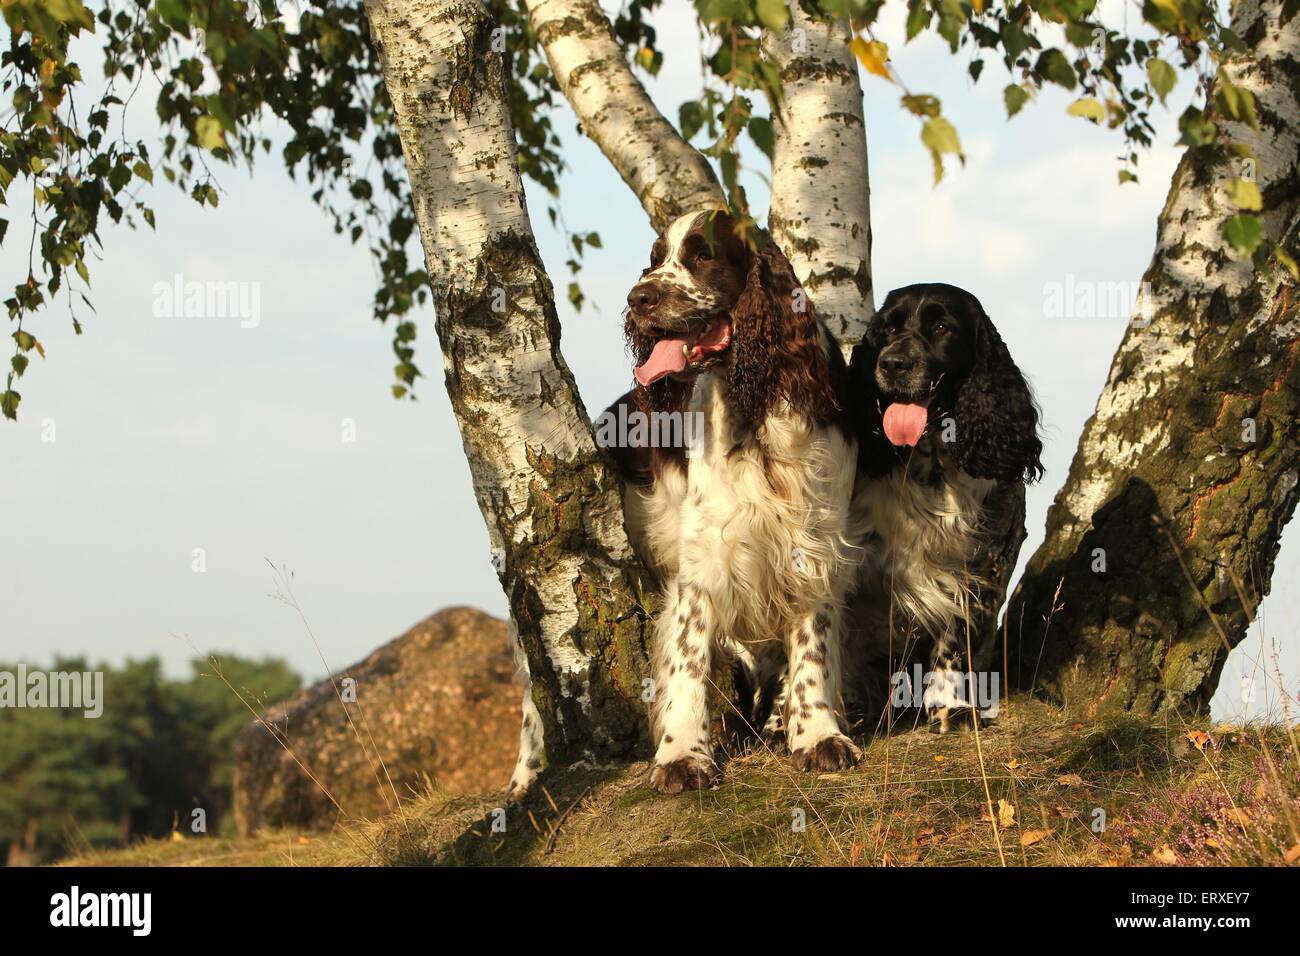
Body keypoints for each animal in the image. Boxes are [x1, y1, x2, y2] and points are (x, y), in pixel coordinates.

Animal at [605, 209, 868, 790]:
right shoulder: (704, 557)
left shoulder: (812, 541)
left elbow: (812, 648)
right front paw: (683, 754)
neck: (756, 407)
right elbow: (688, 658)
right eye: (655, 259)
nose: (638, 298)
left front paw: (816, 735)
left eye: (702, 255)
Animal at [842, 282, 1045, 733]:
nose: (893, 363)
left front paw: (950, 708)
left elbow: (955, 640)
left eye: (941, 327)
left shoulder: (981, 564)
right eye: (886, 328)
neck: (929, 460)